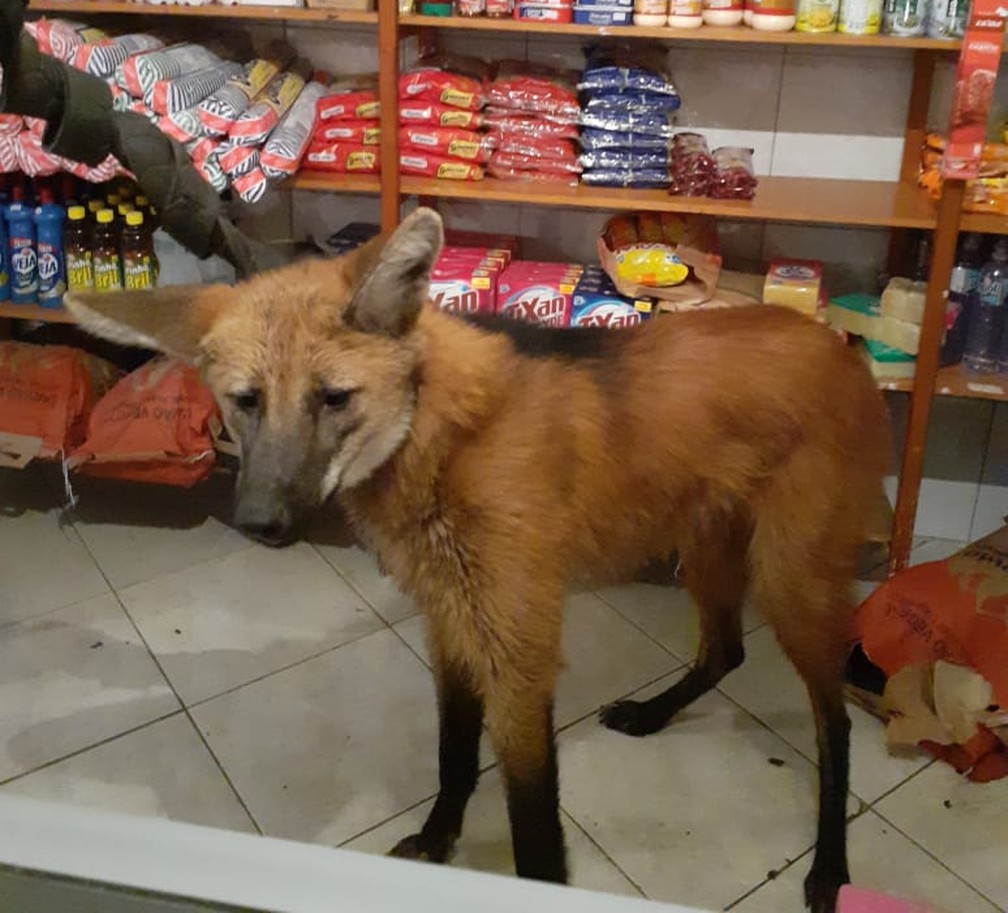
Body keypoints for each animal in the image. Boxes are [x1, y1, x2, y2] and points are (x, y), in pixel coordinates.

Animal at [66, 208, 891, 913]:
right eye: (246, 401)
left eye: (333, 398)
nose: (261, 523)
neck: (438, 445)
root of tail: (839, 346)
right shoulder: (450, 614)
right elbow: (455, 751)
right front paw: (438, 841)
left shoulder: (516, 643)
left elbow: (532, 820)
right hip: (706, 543)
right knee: (726, 650)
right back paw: (652, 713)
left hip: (787, 577)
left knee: (834, 719)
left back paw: (830, 866)